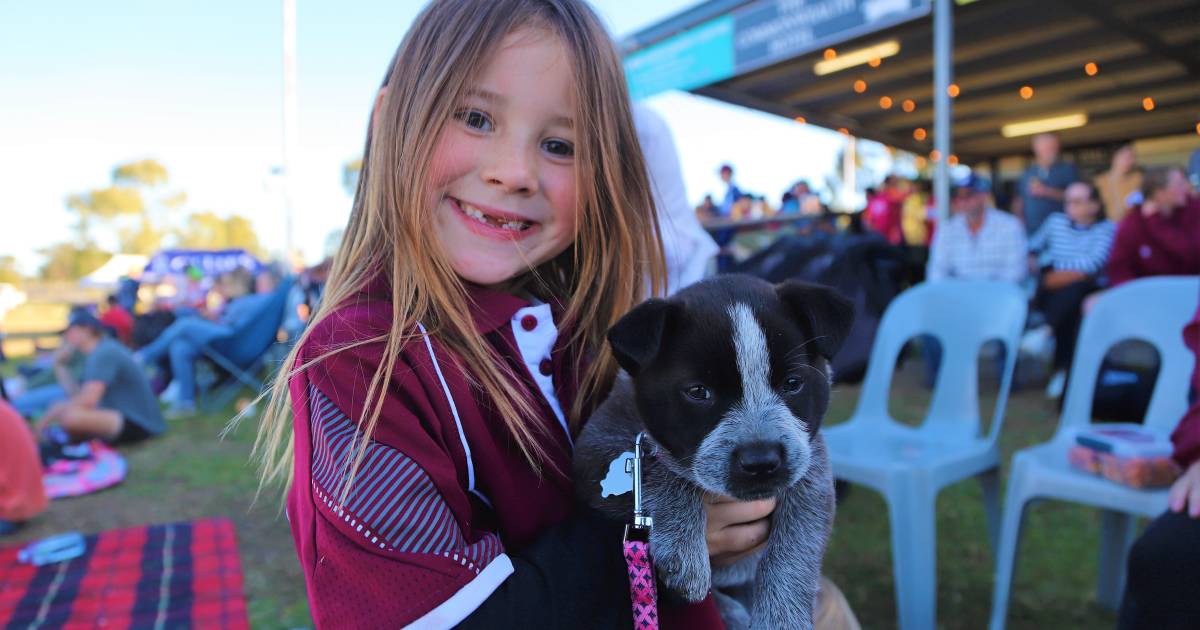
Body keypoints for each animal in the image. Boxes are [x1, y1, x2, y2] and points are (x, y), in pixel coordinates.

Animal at [571, 274, 854, 628]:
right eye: (698, 392)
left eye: (792, 383)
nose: (761, 462)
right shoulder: (596, 450)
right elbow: (662, 470)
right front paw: (683, 548)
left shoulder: (812, 467)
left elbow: (795, 549)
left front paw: (781, 617)